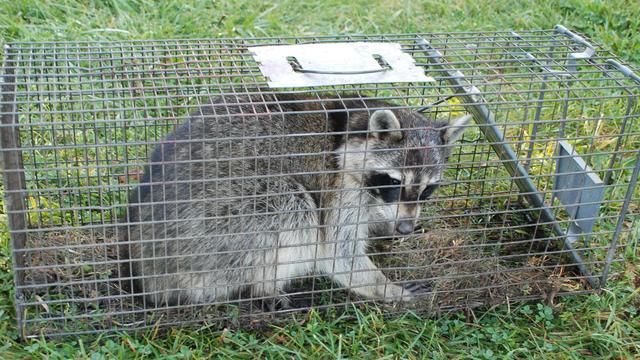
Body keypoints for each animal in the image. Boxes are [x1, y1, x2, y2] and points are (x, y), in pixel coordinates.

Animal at [124, 93, 470, 306]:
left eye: (428, 189)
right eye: (394, 182)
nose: (405, 228)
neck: (352, 124)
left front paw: (388, 228)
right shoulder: (339, 187)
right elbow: (338, 251)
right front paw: (385, 287)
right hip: (216, 224)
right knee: (294, 210)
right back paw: (264, 286)